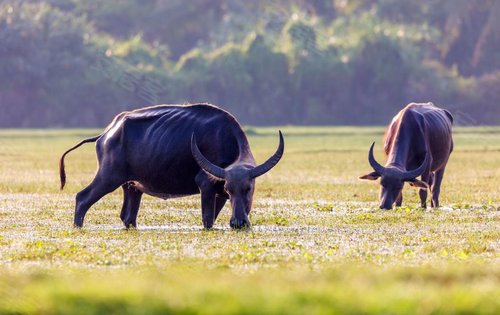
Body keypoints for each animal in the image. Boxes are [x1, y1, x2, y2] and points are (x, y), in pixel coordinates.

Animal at [59, 103, 286, 230]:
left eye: (248, 188)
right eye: (230, 189)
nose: (238, 223)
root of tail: (106, 134)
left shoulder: (218, 193)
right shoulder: (206, 185)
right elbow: (207, 220)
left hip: (132, 186)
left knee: (127, 216)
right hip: (108, 177)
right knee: (82, 198)